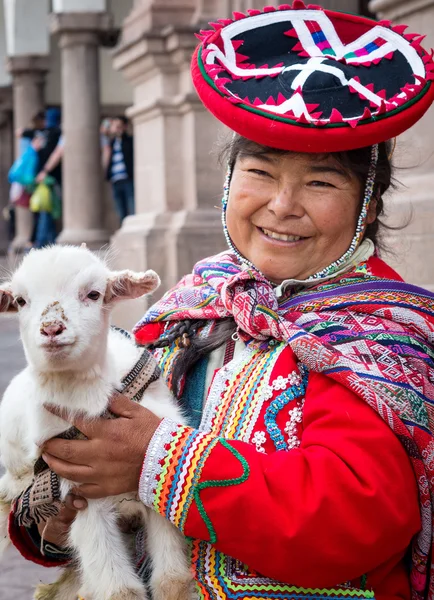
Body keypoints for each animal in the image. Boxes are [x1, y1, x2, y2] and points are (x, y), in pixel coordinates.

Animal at [0, 245, 192, 600]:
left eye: (93, 294)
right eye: (20, 300)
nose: (51, 328)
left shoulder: (154, 493)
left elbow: (173, 581)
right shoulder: (80, 499)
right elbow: (120, 591)